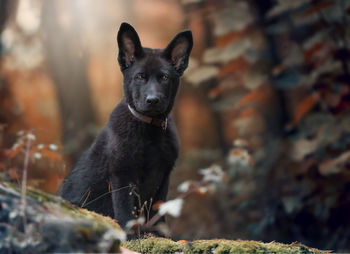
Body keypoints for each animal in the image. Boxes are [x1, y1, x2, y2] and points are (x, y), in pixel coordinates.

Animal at [58, 22, 194, 228]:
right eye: (140, 77)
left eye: (164, 78)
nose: (152, 100)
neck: (149, 129)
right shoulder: (122, 175)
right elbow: (125, 213)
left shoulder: (164, 175)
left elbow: (158, 213)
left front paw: (158, 233)